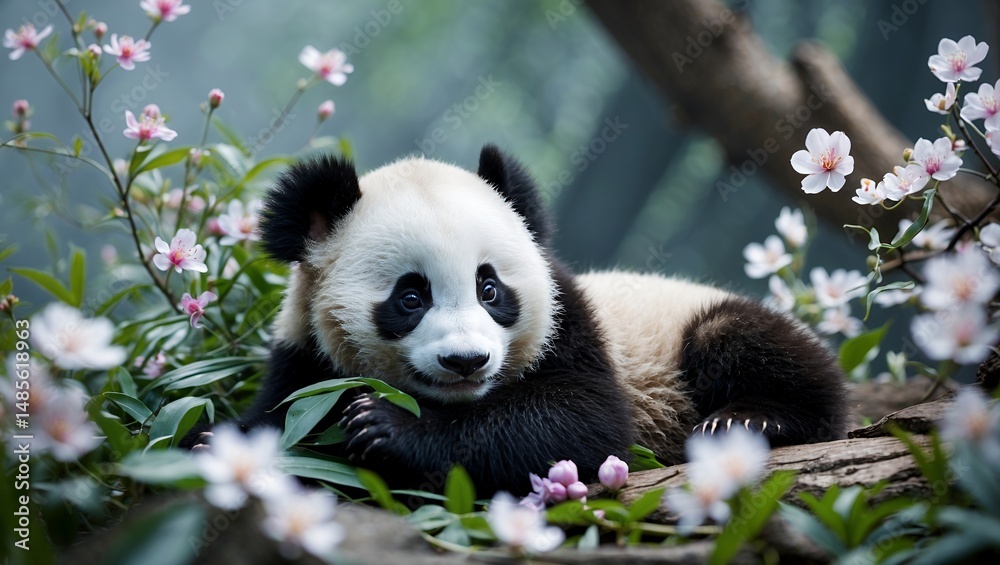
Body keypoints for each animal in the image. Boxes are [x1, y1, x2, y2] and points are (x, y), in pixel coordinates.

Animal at [184, 144, 848, 495]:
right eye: (410, 297)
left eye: (490, 288)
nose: (466, 361)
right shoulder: (305, 354)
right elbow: (280, 410)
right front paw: (215, 443)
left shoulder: (569, 323)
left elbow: (580, 420)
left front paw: (386, 427)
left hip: (688, 327)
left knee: (740, 343)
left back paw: (746, 419)